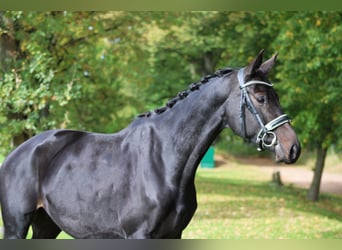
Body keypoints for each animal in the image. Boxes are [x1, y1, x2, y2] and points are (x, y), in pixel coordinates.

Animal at [0, 50, 300, 238]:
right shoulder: (139, 235)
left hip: (46, 226)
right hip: (16, 226)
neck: (165, 161)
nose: (292, 147)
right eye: (260, 97)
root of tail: (16, 155)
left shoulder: (174, 234)